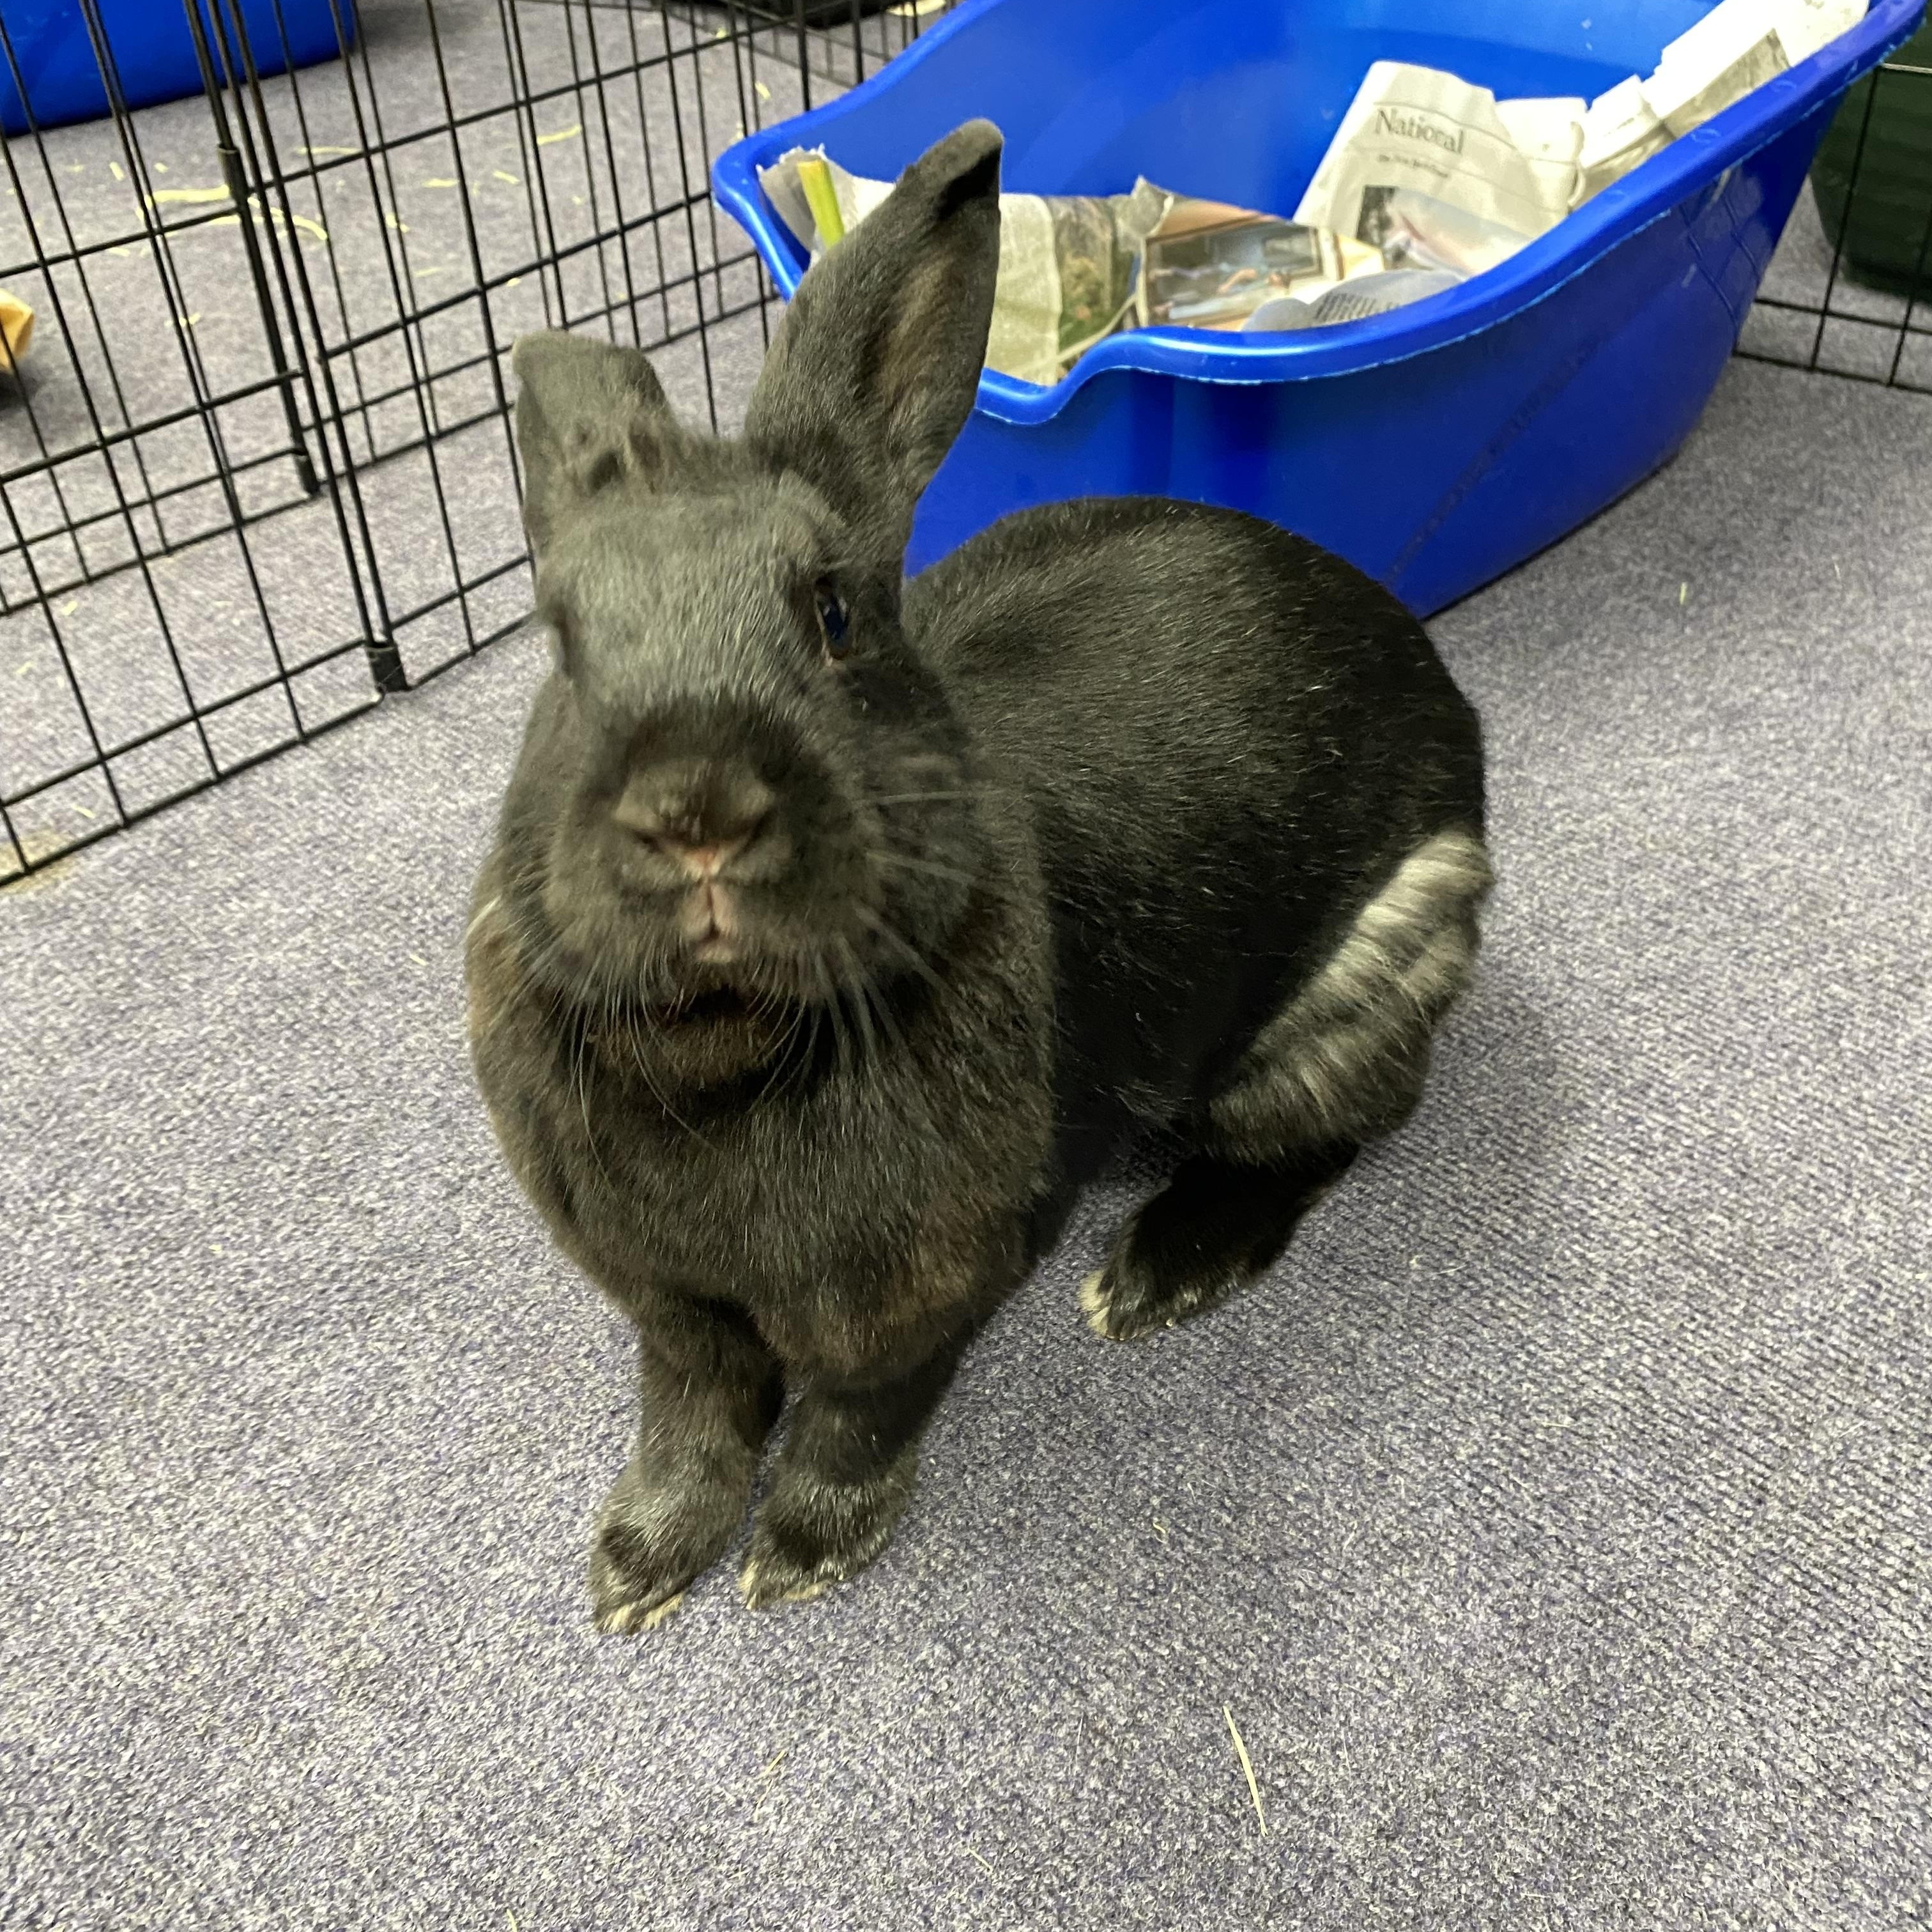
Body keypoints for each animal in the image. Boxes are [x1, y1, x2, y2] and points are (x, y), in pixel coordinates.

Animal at [465, 120, 1491, 1632]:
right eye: (558, 645)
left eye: (833, 613)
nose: (693, 813)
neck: (726, 1046)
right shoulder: (676, 1310)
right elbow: (691, 1420)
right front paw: (635, 1571)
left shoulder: (925, 1294)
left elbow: (853, 1418)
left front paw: (800, 1557)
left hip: (1381, 958)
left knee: (1329, 1136)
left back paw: (1153, 1276)